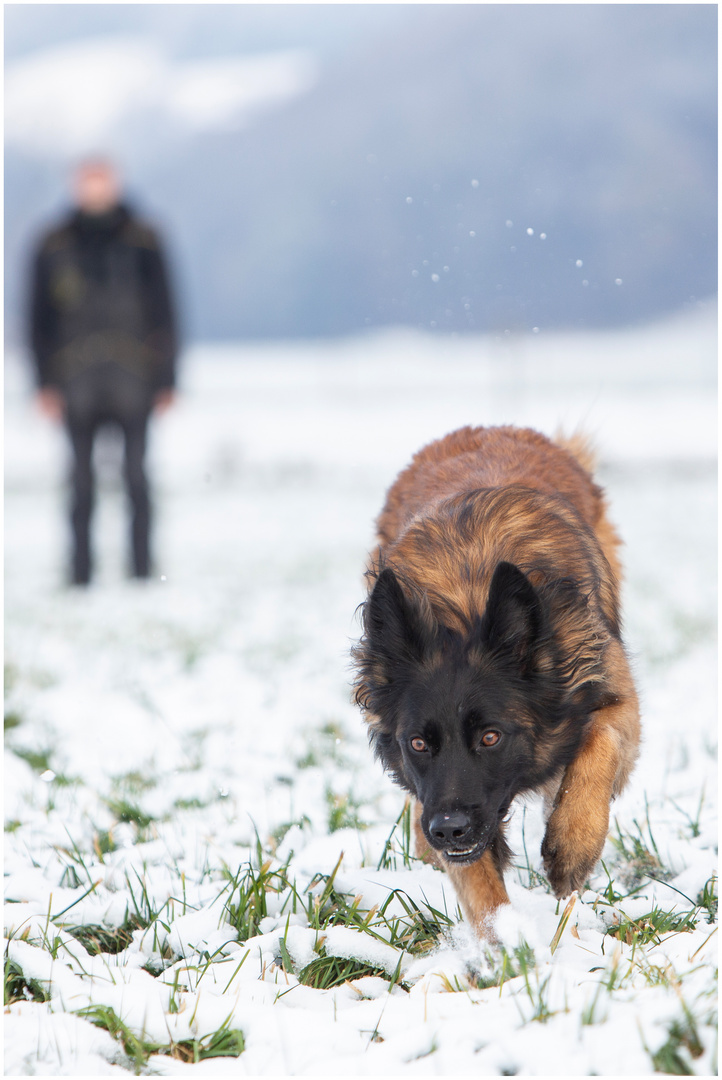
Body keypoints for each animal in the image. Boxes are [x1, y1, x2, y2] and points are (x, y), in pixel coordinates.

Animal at [351, 425, 638, 933]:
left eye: (490, 737)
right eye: (417, 743)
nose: (447, 830)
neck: (467, 600)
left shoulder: (613, 692)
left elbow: (599, 742)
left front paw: (571, 845)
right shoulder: (452, 805)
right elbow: (479, 884)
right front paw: (507, 944)